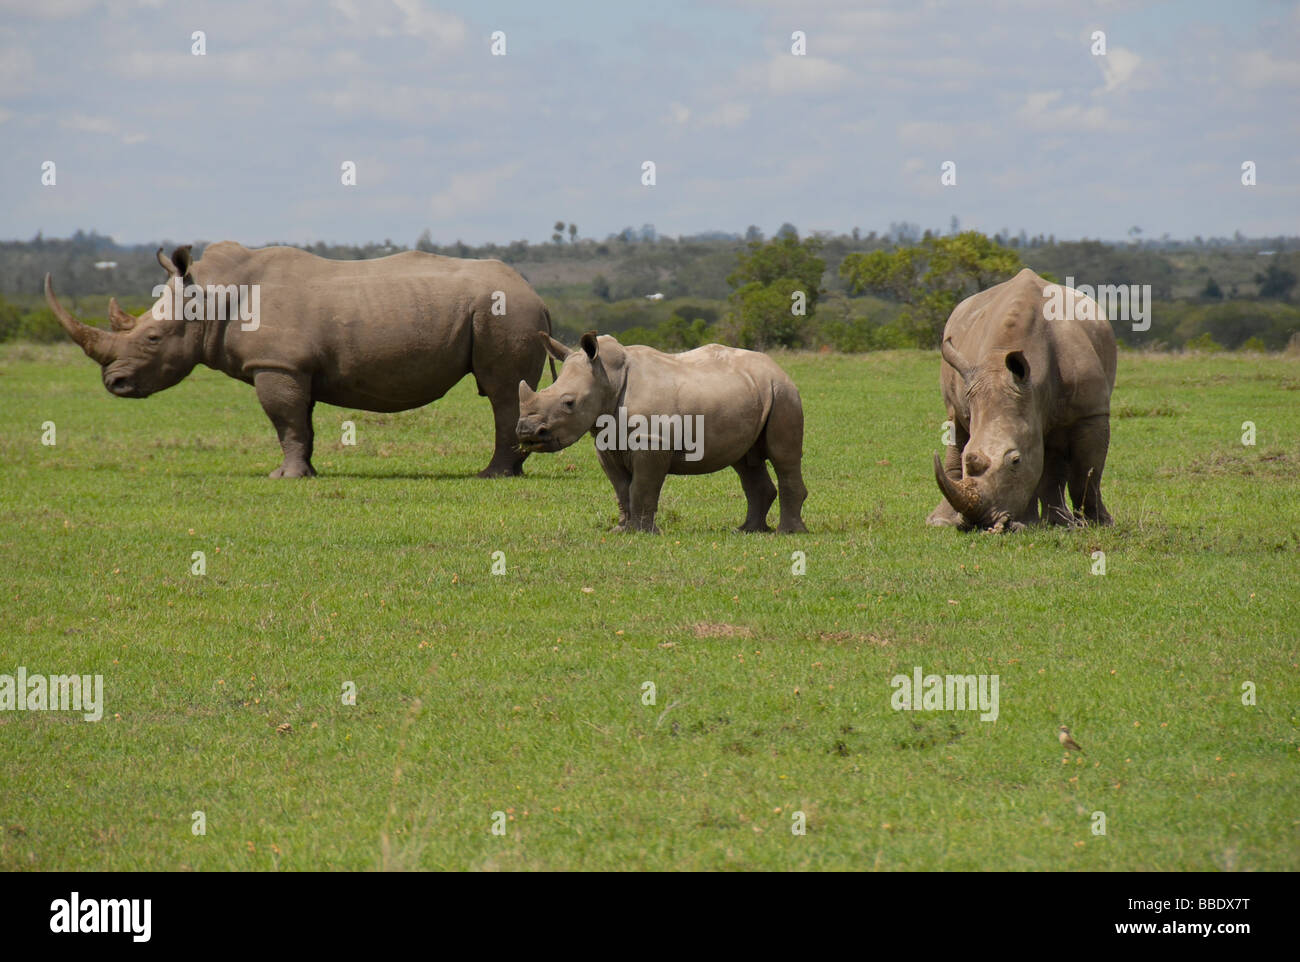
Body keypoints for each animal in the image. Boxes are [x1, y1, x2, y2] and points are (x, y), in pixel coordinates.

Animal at [514, 332, 800, 533]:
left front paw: (644, 533)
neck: (608, 377)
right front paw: (621, 530)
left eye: (569, 403)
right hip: (754, 392)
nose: (526, 432)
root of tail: (778, 368)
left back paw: (786, 533)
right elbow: (622, 489)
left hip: (782, 391)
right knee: (745, 462)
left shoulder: (652, 442)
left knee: (783, 457)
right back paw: (747, 531)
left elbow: (642, 487)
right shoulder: (605, 442)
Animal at [925, 265, 1118, 533]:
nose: (979, 523)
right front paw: (1026, 525)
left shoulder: (1091, 411)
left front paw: (1100, 524)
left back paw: (1061, 523)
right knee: (956, 427)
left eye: (1015, 460)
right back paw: (941, 522)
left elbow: (1087, 471)